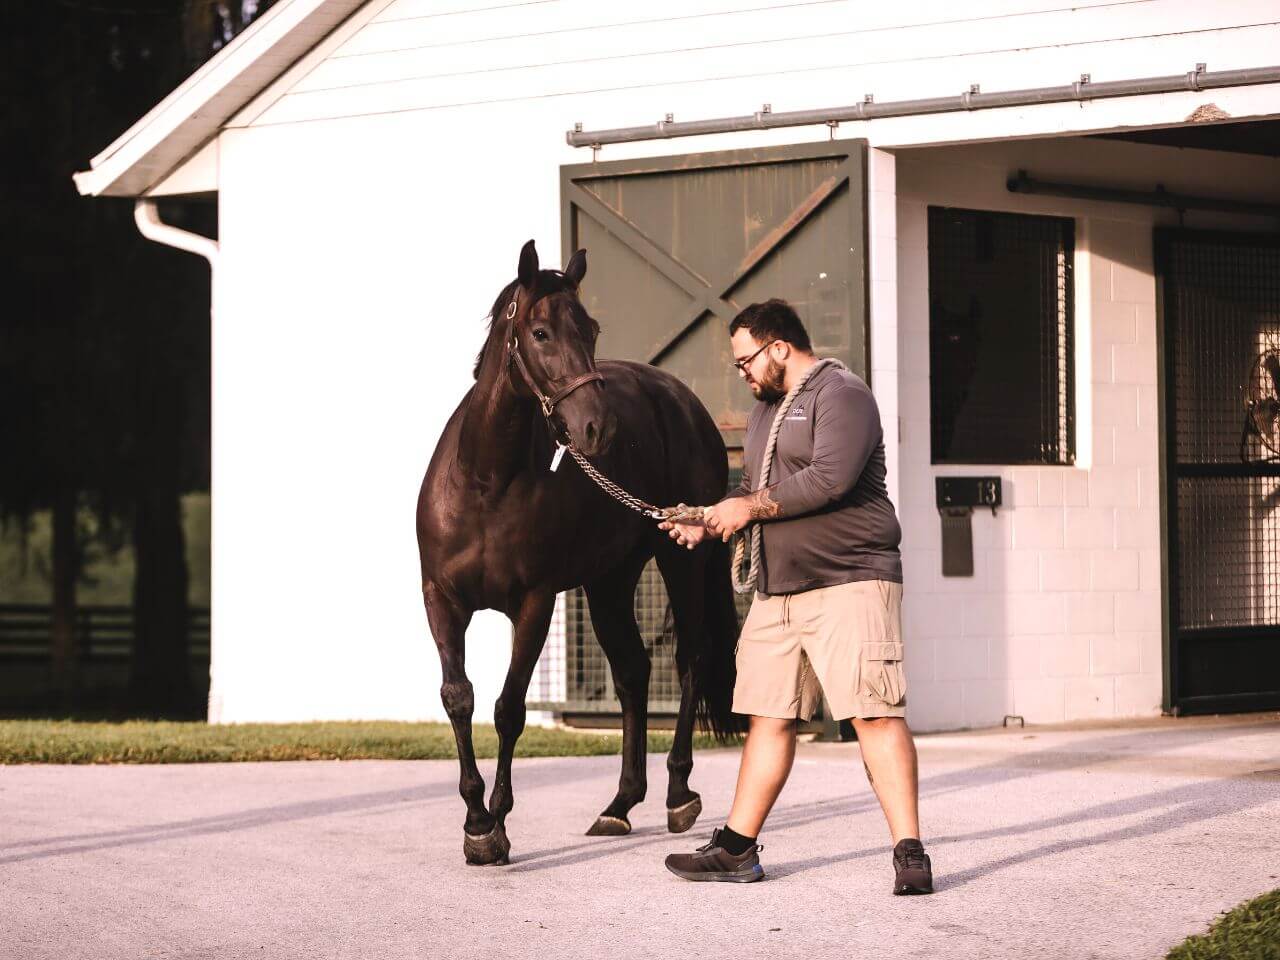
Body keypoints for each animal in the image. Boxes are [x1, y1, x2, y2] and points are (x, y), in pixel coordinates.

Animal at [417, 239, 742, 865]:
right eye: (540, 332)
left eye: (590, 330)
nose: (597, 429)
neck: (484, 482)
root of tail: (682, 400)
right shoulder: (441, 600)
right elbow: (458, 698)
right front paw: (475, 822)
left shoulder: (534, 603)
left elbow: (510, 708)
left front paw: (497, 824)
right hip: (609, 581)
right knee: (633, 671)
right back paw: (619, 805)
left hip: (681, 559)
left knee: (690, 660)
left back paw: (678, 793)